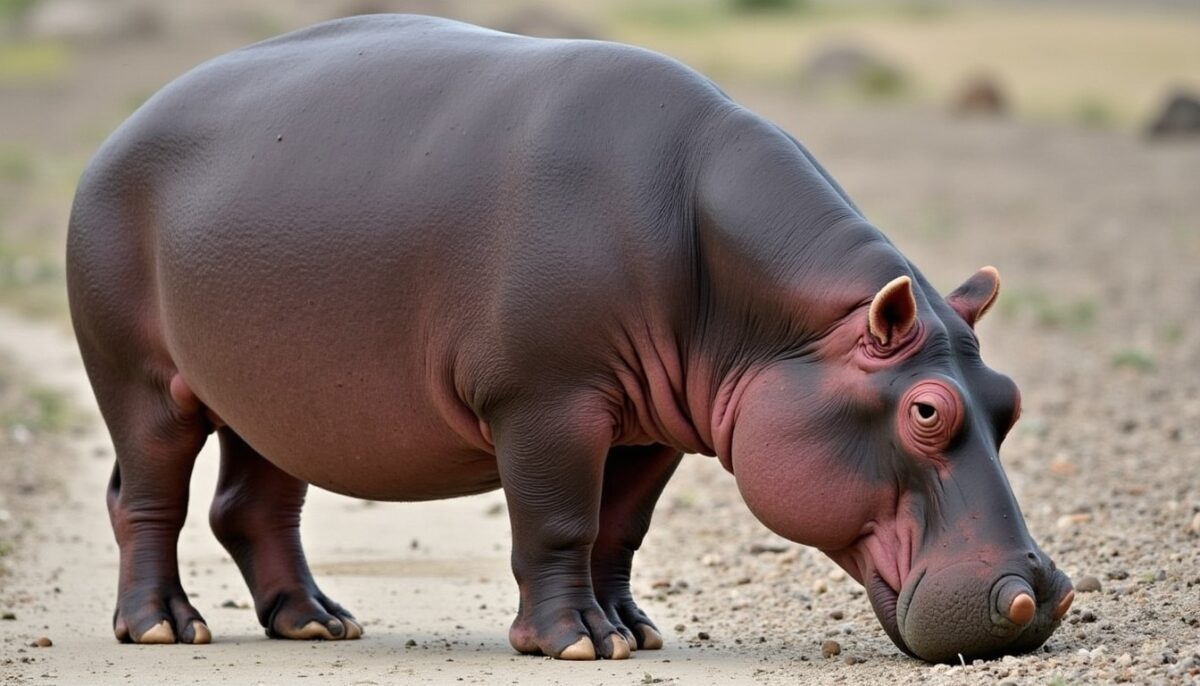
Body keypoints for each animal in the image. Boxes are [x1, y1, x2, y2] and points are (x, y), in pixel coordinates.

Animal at [66, 14, 1073, 663]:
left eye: (1010, 402)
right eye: (927, 411)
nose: (1042, 593)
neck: (781, 321)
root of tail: (119, 131)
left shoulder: (655, 429)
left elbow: (618, 530)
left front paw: (634, 631)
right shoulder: (547, 400)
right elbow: (558, 519)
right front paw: (578, 644)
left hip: (274, 397)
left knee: (254, 505)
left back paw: (317, 622)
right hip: (142, 381)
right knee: (145, 497)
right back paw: (163, 628)